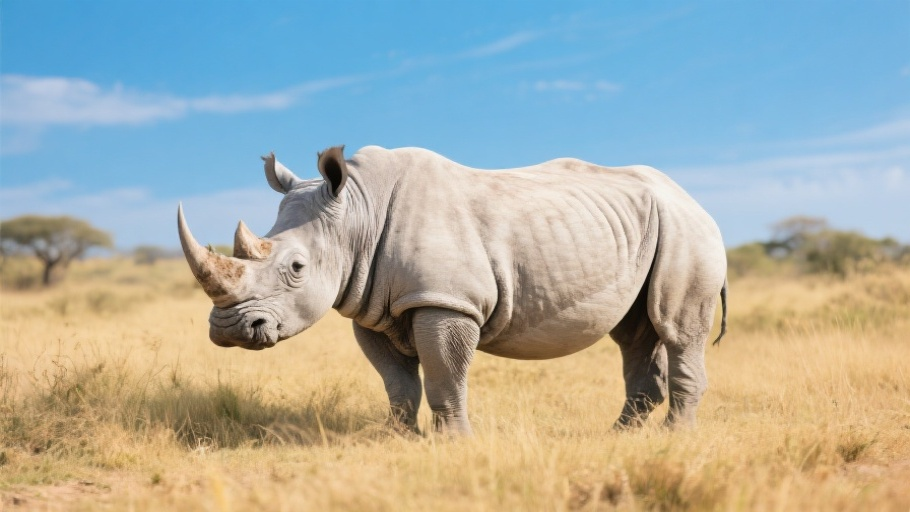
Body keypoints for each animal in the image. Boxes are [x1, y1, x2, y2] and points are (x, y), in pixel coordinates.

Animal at [177, 145, 728, 435]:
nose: (229, 331)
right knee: (635, 333)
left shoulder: (446, 300)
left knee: (677, 329)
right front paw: (399, 438)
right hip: (647, 229)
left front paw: (452, 441)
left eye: (296, 267)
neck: (356, 212)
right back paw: (619, 438)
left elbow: (444, 373)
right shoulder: (370, 305)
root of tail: (694, 200)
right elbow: (397, 384)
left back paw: (673, 439)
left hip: (687, 230)